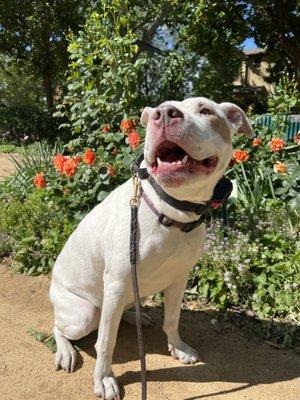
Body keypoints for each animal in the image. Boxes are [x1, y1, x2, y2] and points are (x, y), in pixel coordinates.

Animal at [49, 96, 253, 396]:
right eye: (159, 109)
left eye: (205, 110)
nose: (165, 114)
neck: (171, 210)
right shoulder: (117, 282)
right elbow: (106, 341)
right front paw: (104, 379)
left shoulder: (179, 278)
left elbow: (172, 319)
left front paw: (178, 348)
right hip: (84, 313)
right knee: (61, 327)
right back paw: (65, 351)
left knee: (121, 310)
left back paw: (135, 317)